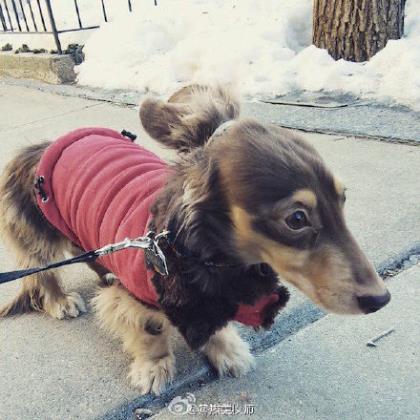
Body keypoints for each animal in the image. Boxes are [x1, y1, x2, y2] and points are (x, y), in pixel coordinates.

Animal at [0, 85, 390, 394]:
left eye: (342, 199)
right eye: (297, 219)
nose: (381, 299)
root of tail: (42, 147)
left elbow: (216, 326)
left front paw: (226, 350)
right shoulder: (135, 292)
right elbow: (148, 328)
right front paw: (154, 367)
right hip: (38, 237)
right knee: (42, 271)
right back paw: (60, 300)